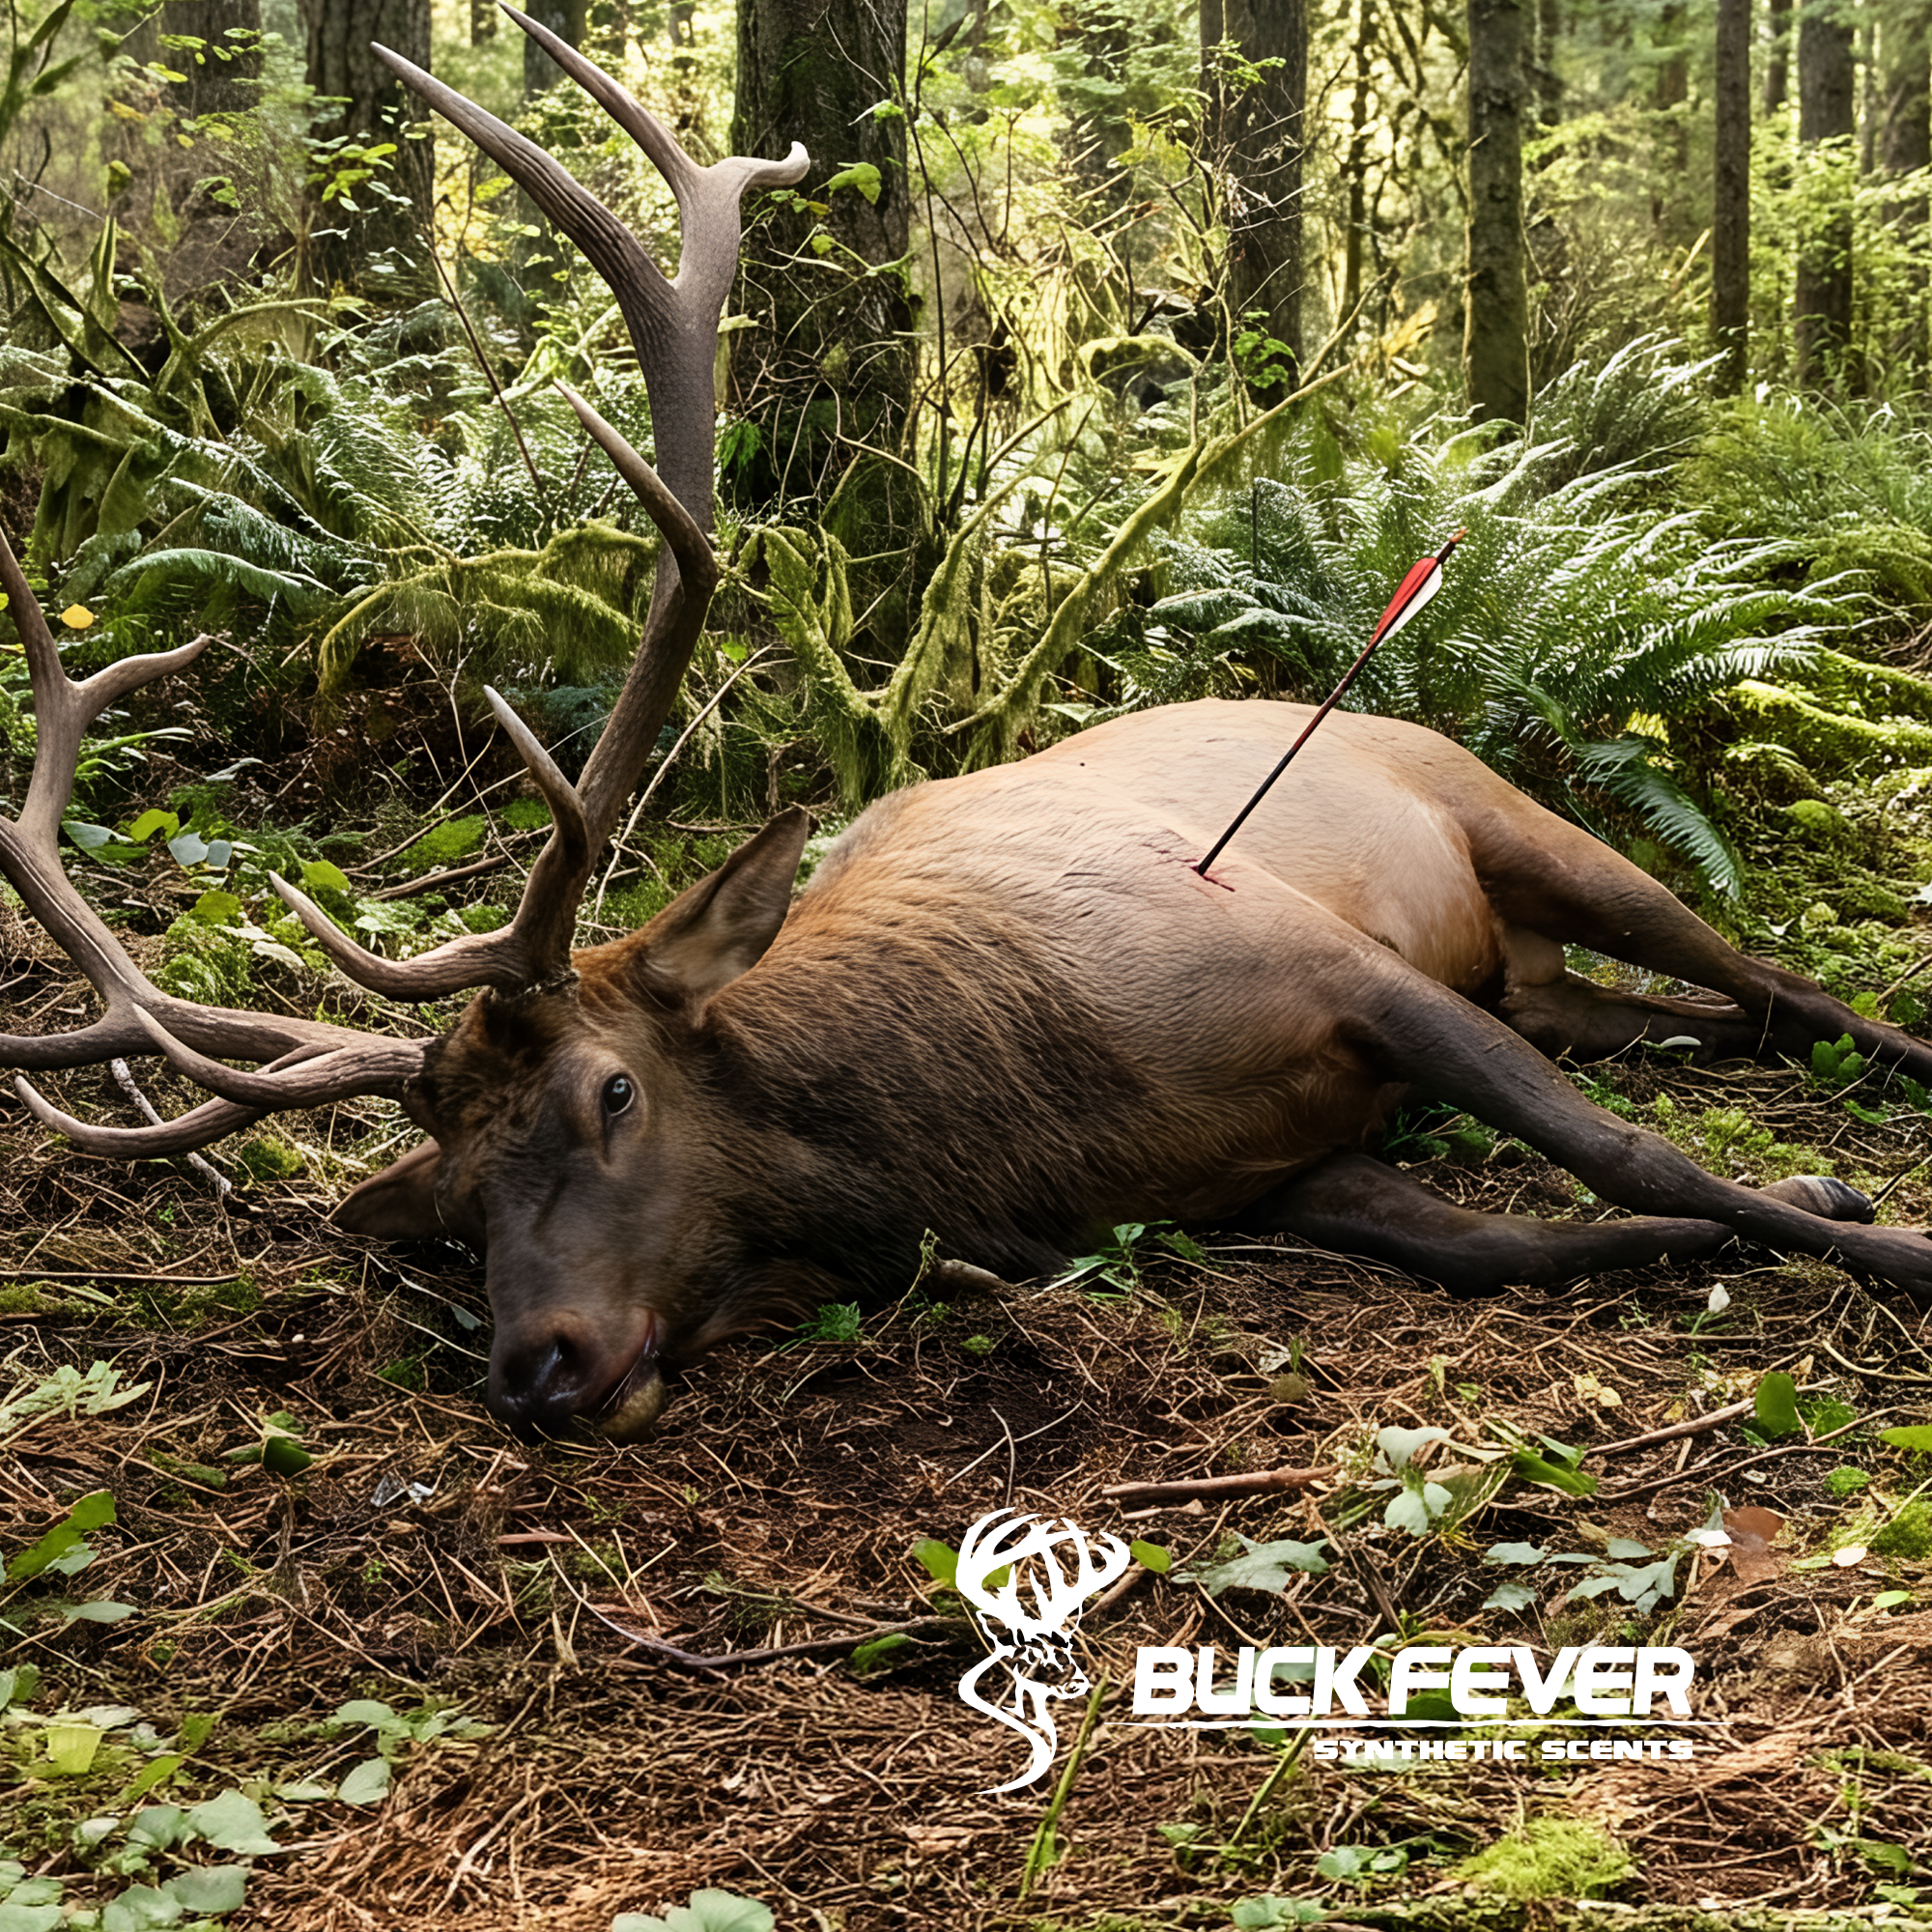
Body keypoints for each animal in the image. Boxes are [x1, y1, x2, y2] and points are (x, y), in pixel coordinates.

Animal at [5, 8, 1931, 1450]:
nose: (539, 1367)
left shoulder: (1337, 972)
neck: (1012, 1130)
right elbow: (1526, 1241)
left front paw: (1880, 1227)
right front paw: (1791, 1210)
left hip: (1531, 827)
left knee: (1781, 986)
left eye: (612, 1091)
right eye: (456, 1200)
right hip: (1533, 969)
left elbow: (1618, 1152)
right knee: (1676, 1023)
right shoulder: (1276, 1172)